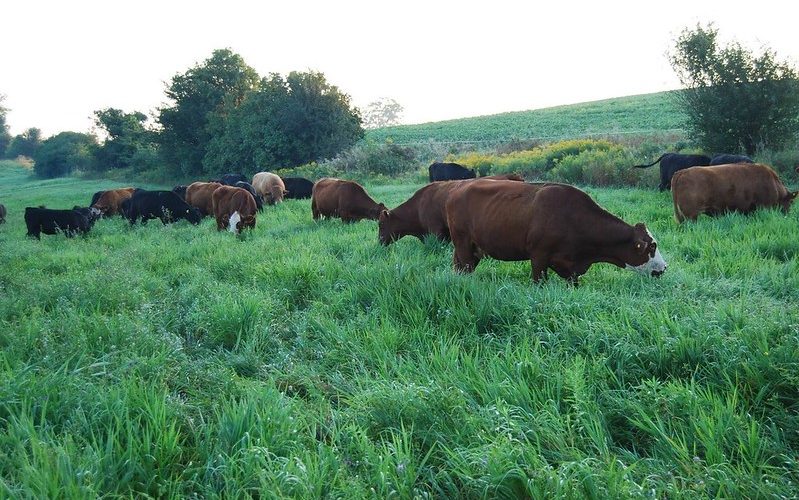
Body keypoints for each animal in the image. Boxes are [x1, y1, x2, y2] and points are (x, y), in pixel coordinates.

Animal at [446, 180, 664, 284]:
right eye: (652, 247)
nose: (664, 268)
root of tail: (458, 187)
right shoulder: (538, 257)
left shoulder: (571, 269)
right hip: (464, 247)